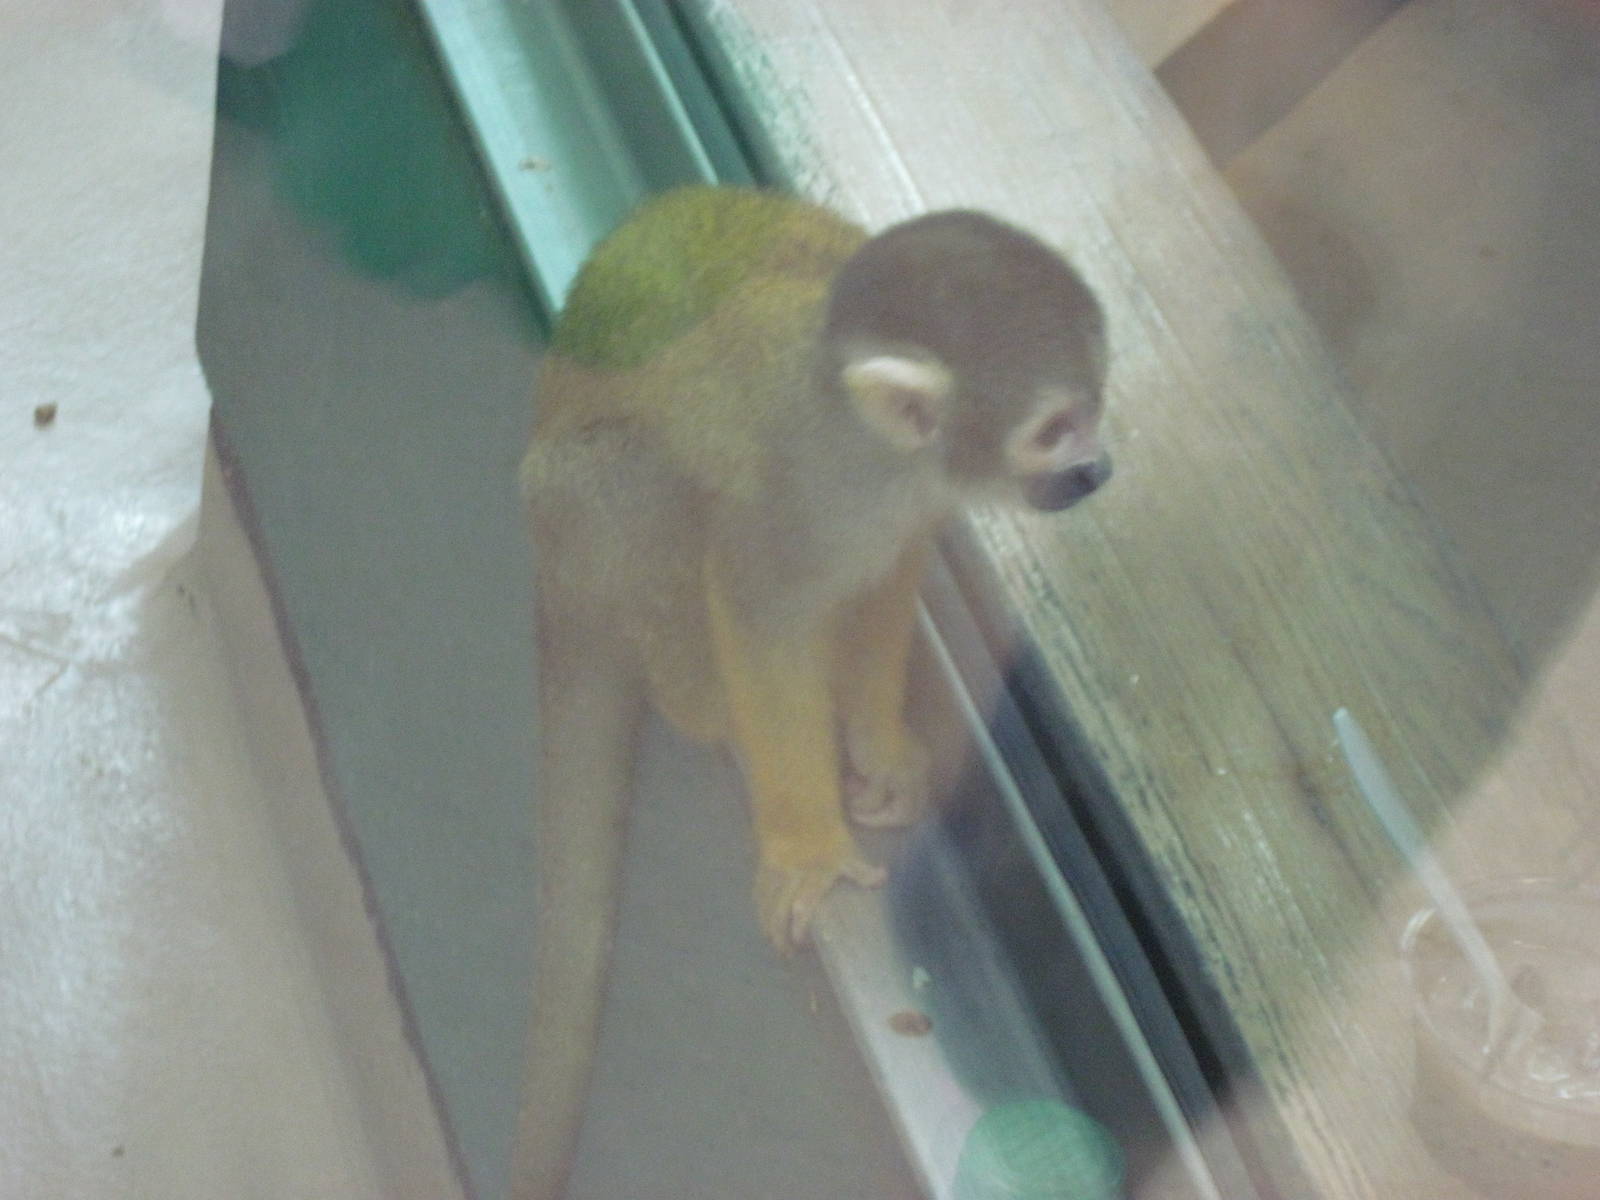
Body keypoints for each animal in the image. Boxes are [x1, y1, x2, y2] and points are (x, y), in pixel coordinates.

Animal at [511, 185, 1110, 1200]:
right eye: (1054, 429)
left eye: (1097, 406)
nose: (1097, 469)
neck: (883, 448)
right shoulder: (808, 489)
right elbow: (761, 605)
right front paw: (807, 846)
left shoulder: (905, 498)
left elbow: (886, 574)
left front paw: (881, 747)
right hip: (573, 523)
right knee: (632, 486)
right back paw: (707, 707)